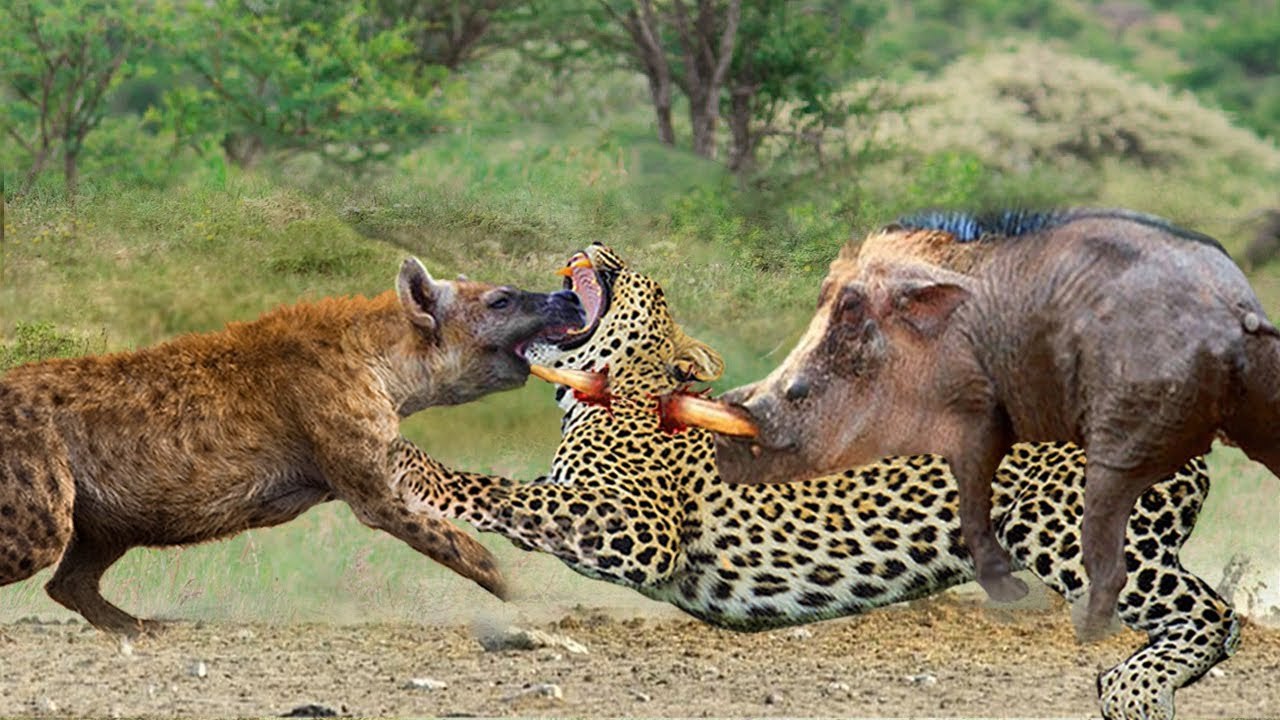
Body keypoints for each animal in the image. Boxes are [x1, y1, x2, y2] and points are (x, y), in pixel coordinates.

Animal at [388, 244, 1239, 720]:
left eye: (645, 282)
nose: (595, 241)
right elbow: (527, 495)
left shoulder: (639, 530)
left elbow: (507, 491)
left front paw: (412, 465)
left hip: (1061, 527)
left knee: (1214, 613)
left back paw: (1135, 688)